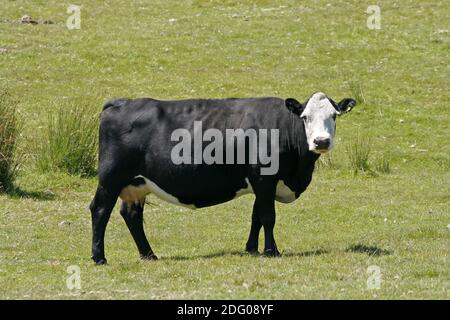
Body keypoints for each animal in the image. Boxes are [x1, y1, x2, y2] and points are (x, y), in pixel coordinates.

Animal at [89, 91, 356, 264]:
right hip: (111, 178)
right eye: (305, 117)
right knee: (100, 210)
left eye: (334, 116)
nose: (321, 141)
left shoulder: (259, 184)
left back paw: (149, 255)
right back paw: (99, 257)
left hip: (136, 184)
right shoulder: (265, 179)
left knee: (131, 215)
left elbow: (256, 216)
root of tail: (120, 102)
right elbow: (268, 217)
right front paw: (271, 251)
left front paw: (251, 249)